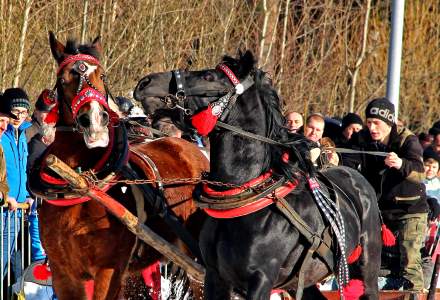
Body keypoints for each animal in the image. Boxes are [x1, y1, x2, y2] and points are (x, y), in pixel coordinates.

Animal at [28, 31, 209, 298]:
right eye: (63, 79)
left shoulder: (108, 270)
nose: (94, 119)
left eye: (102, 75)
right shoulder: (64, 276)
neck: (80, 183)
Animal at [134, 51, 382, 300]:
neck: (243, 195)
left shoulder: (261, 279)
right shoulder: (214, 276)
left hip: (367, 267)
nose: (145, 82)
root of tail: (357, 178)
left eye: (208, 76)